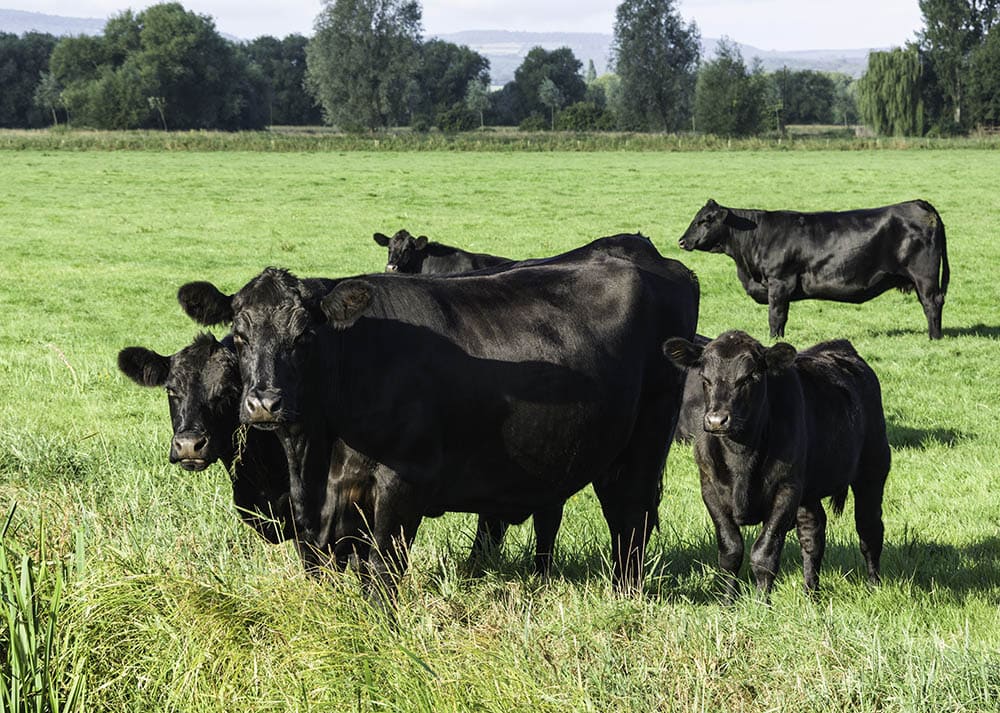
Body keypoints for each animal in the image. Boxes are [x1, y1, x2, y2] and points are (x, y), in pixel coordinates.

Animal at [178, 235, 696, 600]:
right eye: (239, 334)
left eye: (304, 335)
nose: (265, 403)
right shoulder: (322, 510)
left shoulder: (401, 484)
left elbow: (382, 575)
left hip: (644, 441)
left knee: (628, 518)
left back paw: (624, 597)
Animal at [664, 330, 892, 596]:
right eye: (704, 377)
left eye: (750, 377)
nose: (716, 420)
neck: (740, 456)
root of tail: (841, 347)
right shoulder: (709, 488)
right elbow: (731, 551)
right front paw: (727, 601)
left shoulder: (785, 490)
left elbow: (764, 554)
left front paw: (761, 603)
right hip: (809, 489)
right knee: (813, 533)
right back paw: (811, 594)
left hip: (873, 469)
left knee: (869, 529)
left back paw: (874, 586)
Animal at [676, 196, 948, 338]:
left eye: (705, 220)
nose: (681, 240)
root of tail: (919, 203)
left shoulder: (779, 282)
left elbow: (776, 316)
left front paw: (773, 340)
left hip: (925, 278)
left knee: (931, 304)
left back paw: (934, 337)